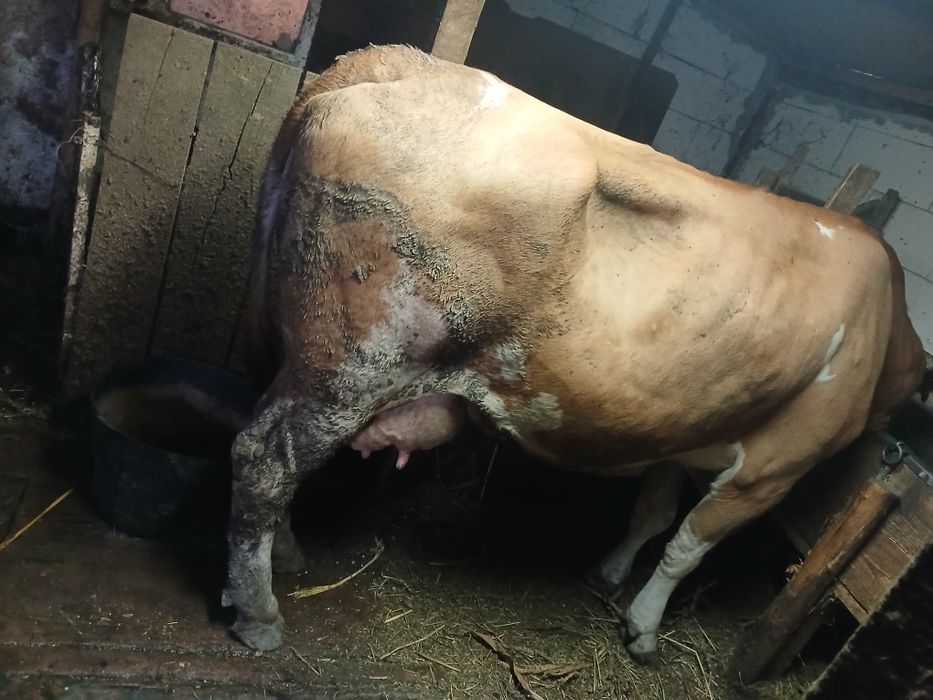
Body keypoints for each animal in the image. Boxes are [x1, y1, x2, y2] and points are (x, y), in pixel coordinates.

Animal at [221, 45, 927, 661]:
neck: (886, 317)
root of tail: (394, 65)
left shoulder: (683, 428)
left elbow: (652, 514)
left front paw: (608, 574)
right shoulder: (777, 464)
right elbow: (686, 546)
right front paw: (644, 628)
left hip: (296, 345)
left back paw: (283, 556)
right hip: (355, 363)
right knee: (265, 460)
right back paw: (259, 614)